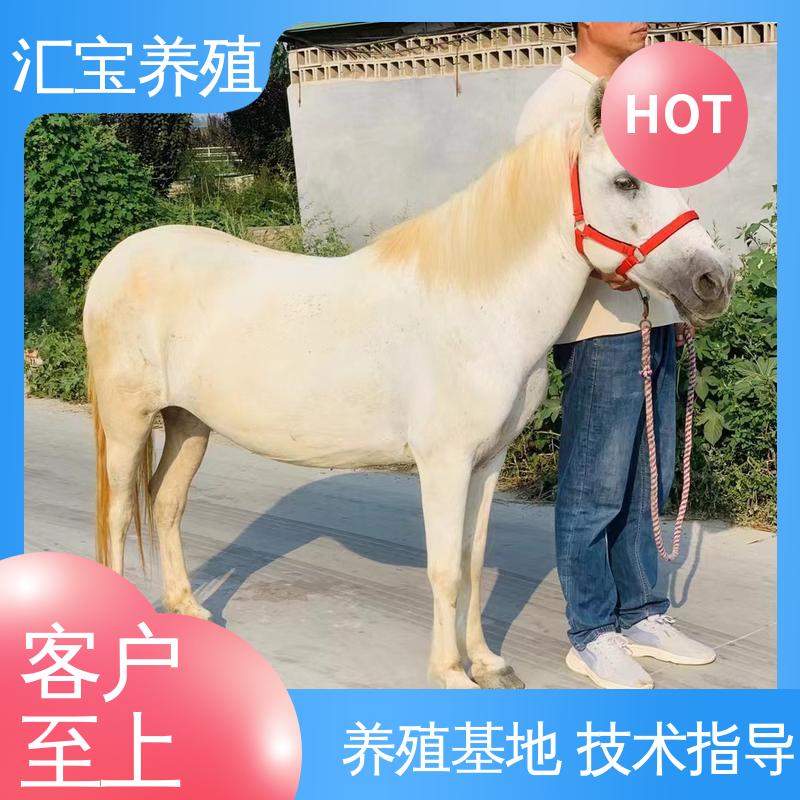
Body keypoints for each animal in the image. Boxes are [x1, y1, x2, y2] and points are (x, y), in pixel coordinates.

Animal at [83, 81, 733, 689]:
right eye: (626, 182)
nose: (714, 281)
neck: (479, 306)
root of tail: (116, 261)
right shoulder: (443, 464)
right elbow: (443, 569)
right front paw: (449, 672)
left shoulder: (486, 463)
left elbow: (472, 561)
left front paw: (487, 663)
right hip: (128, 423)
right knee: (116, 516)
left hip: (189, 423)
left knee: (165, 504)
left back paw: (188, 607)